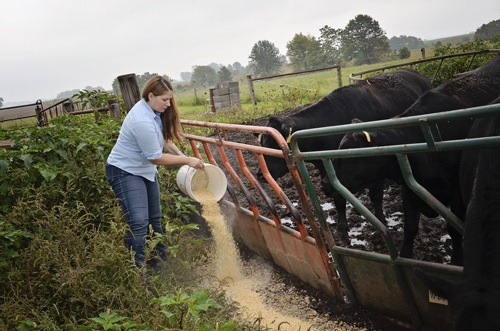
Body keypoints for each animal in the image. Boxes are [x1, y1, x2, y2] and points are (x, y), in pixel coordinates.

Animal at [258, 68, 434, 232]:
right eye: (262, 141)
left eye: (275, 143)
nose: (260, 175)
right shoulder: (328, 169)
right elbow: (338, 197)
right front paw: (342, 225)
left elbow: (375, 196)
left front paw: (381, 220)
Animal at [334, 55, 500, 266]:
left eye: (348, 154)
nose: (325, 184)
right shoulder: (410, 190)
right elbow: (410, 227)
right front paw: (406, 259)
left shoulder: (456, 193)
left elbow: (454, 231)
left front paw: (456, 261)